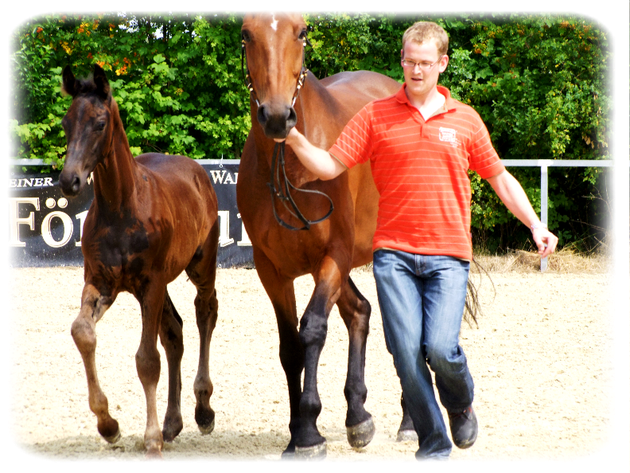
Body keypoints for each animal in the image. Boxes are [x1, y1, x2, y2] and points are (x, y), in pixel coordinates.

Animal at [59, 65, 221, 460]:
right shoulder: (102, 282)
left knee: (205, 312)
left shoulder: (151, 283)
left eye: (100, 123)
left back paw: (203, 410)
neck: (122, 208)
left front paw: (151, 443)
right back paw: (172, 423)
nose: (69, 180)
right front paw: (109, 425)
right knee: (174, 332)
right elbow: (82, 332)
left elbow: (147, 360)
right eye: (67, 123)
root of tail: (197, 171)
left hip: (199, 266)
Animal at [237, 11, 404, 460]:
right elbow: (290, 346)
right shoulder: (272, 270)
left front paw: (310, 432)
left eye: (302, 31)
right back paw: (358, 416)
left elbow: (312, 328)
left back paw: (410, 423)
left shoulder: (333, 256)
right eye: (246, 35)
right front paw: (296, 435)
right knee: (359, 311)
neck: (293, 168)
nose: (278, 117)